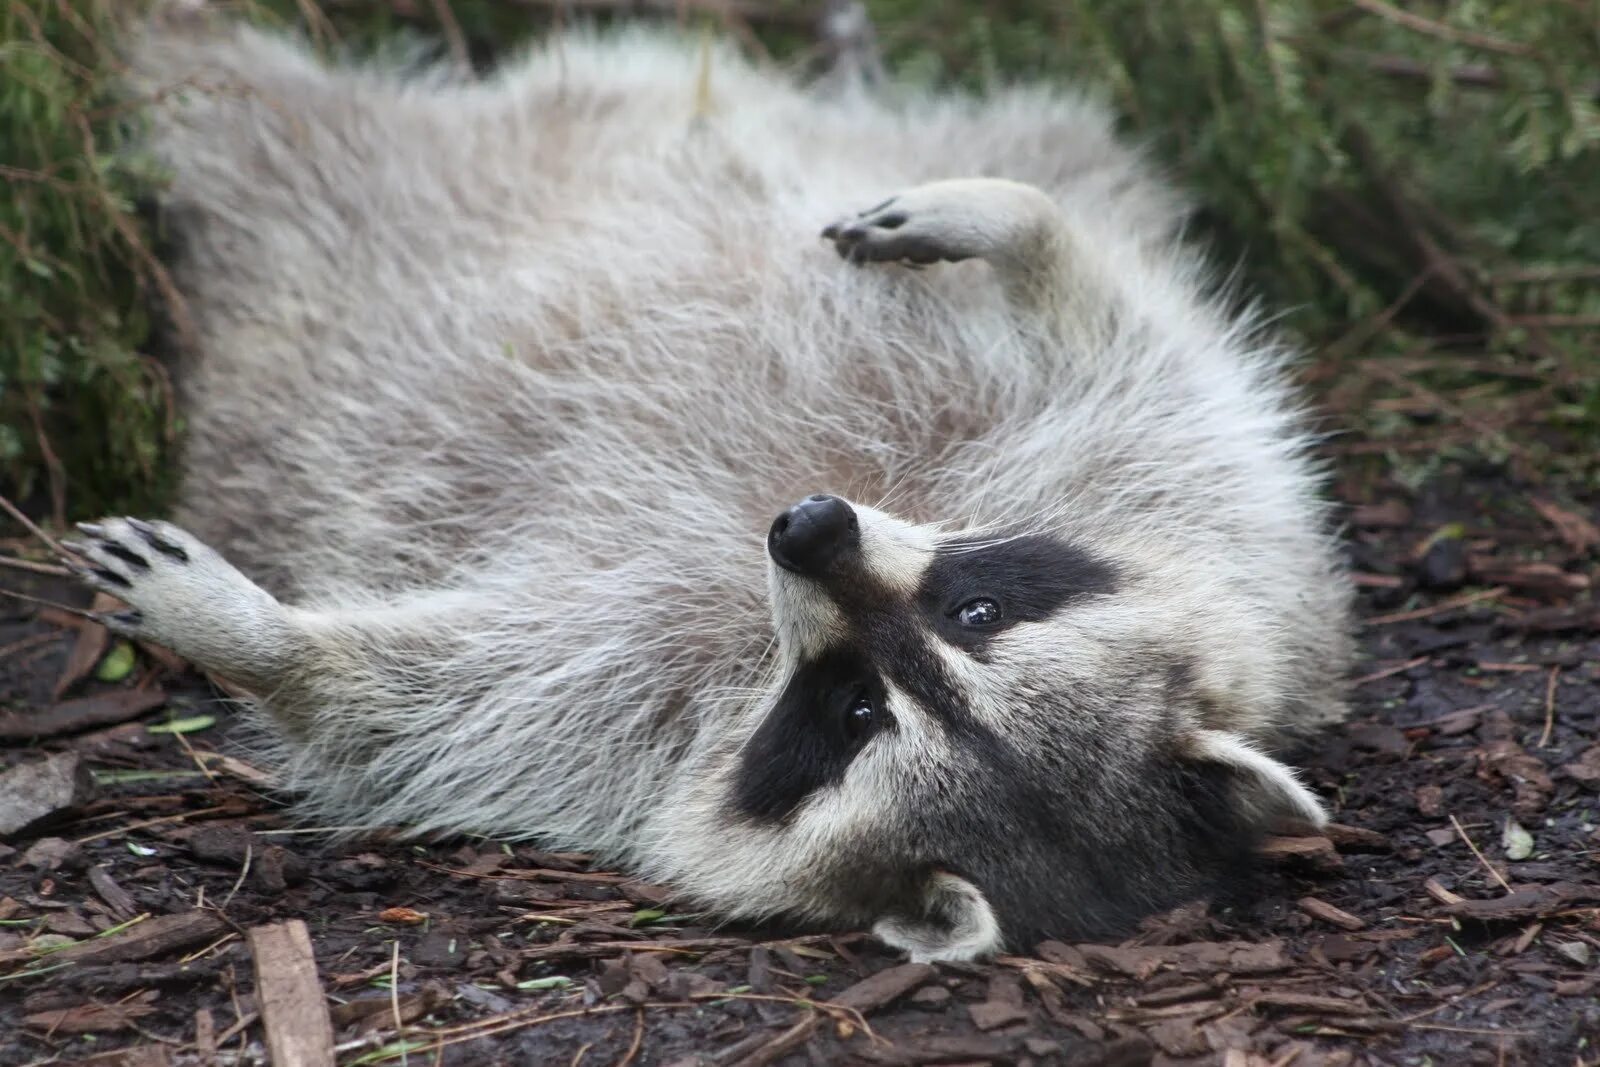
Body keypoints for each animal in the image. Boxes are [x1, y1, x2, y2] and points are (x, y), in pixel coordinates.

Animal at [68, 10, 1356, 959]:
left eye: (855, 710)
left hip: (307, 224)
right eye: (976, 608)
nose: (806, 523)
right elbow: (1107, 319)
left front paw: (258, 635)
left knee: (255, 131)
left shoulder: (615, 716)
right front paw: (1007, 220)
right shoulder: (1195, 474)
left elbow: (412, 707)